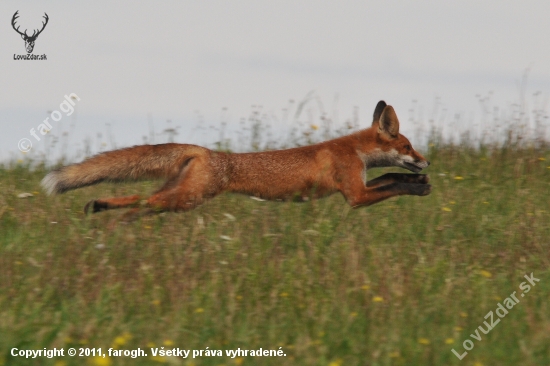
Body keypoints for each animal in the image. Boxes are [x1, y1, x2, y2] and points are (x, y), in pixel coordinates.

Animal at [41, 100, 434, 220]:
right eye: (409, 146)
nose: (427, 162)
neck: (354, 151)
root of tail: (207, 151)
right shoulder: (355, 195)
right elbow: (392, 185)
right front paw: (417, 186)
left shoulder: (359, 185)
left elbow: (390, 180)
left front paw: (418, 182)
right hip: (188, 198)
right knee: (143, 201)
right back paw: (104, 213)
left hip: (178, 196)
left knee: (141, 201)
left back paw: (104, 212)